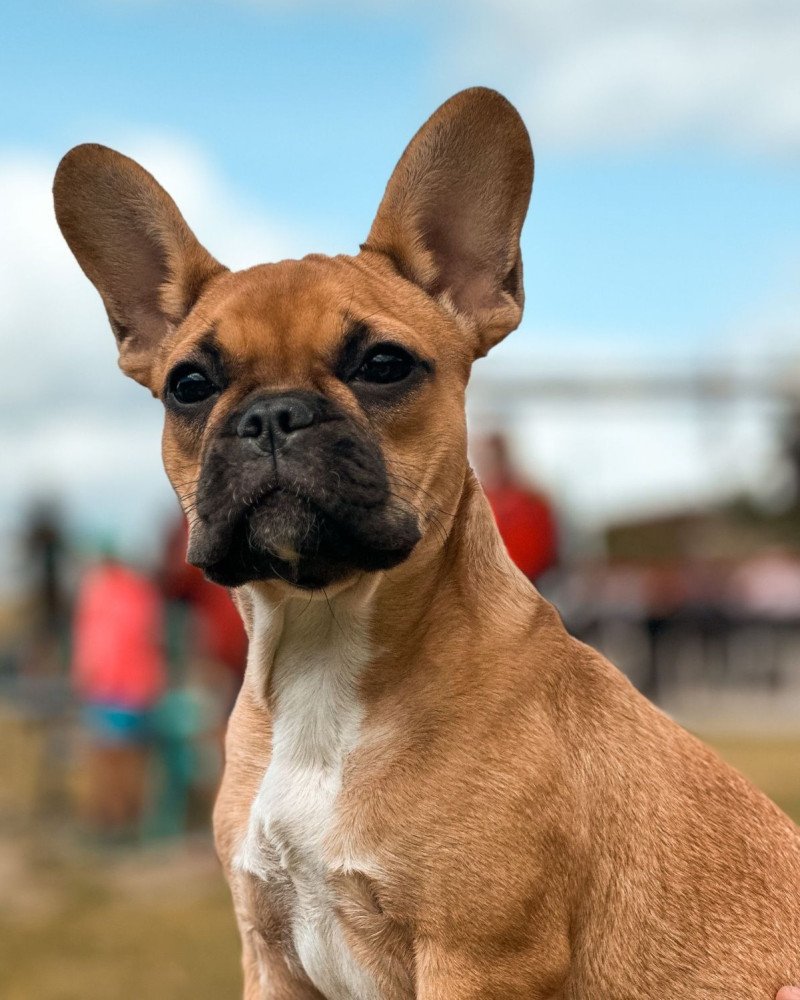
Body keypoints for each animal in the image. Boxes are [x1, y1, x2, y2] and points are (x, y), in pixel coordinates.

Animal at [56, 88, 800, 1000]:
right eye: (189, 386)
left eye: (384, 364)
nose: (270, 415)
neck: (323, 648)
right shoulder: (271, 957)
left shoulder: (476, 958)